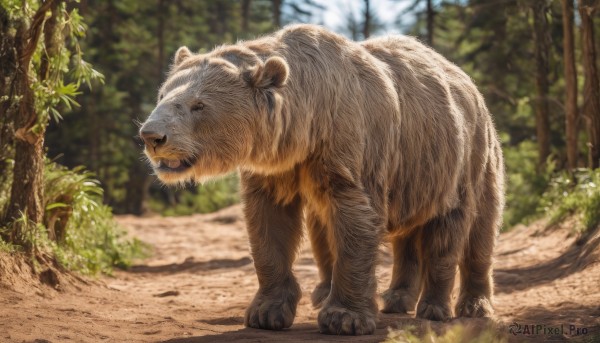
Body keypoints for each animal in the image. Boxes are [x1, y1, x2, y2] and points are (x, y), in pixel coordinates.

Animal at [141, 25, 506, 338]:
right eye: (162, 95)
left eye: (198, 105)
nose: (152, 135)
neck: (306, 128)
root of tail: (469, 84)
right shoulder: (277, 171)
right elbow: (268, 228)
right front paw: (266, 312)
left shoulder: (351, 153)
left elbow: (355, 222)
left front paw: (345, 317)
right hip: (413, 177)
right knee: (397, 234)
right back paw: (394, 297)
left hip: (463, 161)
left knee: (465, 230)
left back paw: (453, 306)